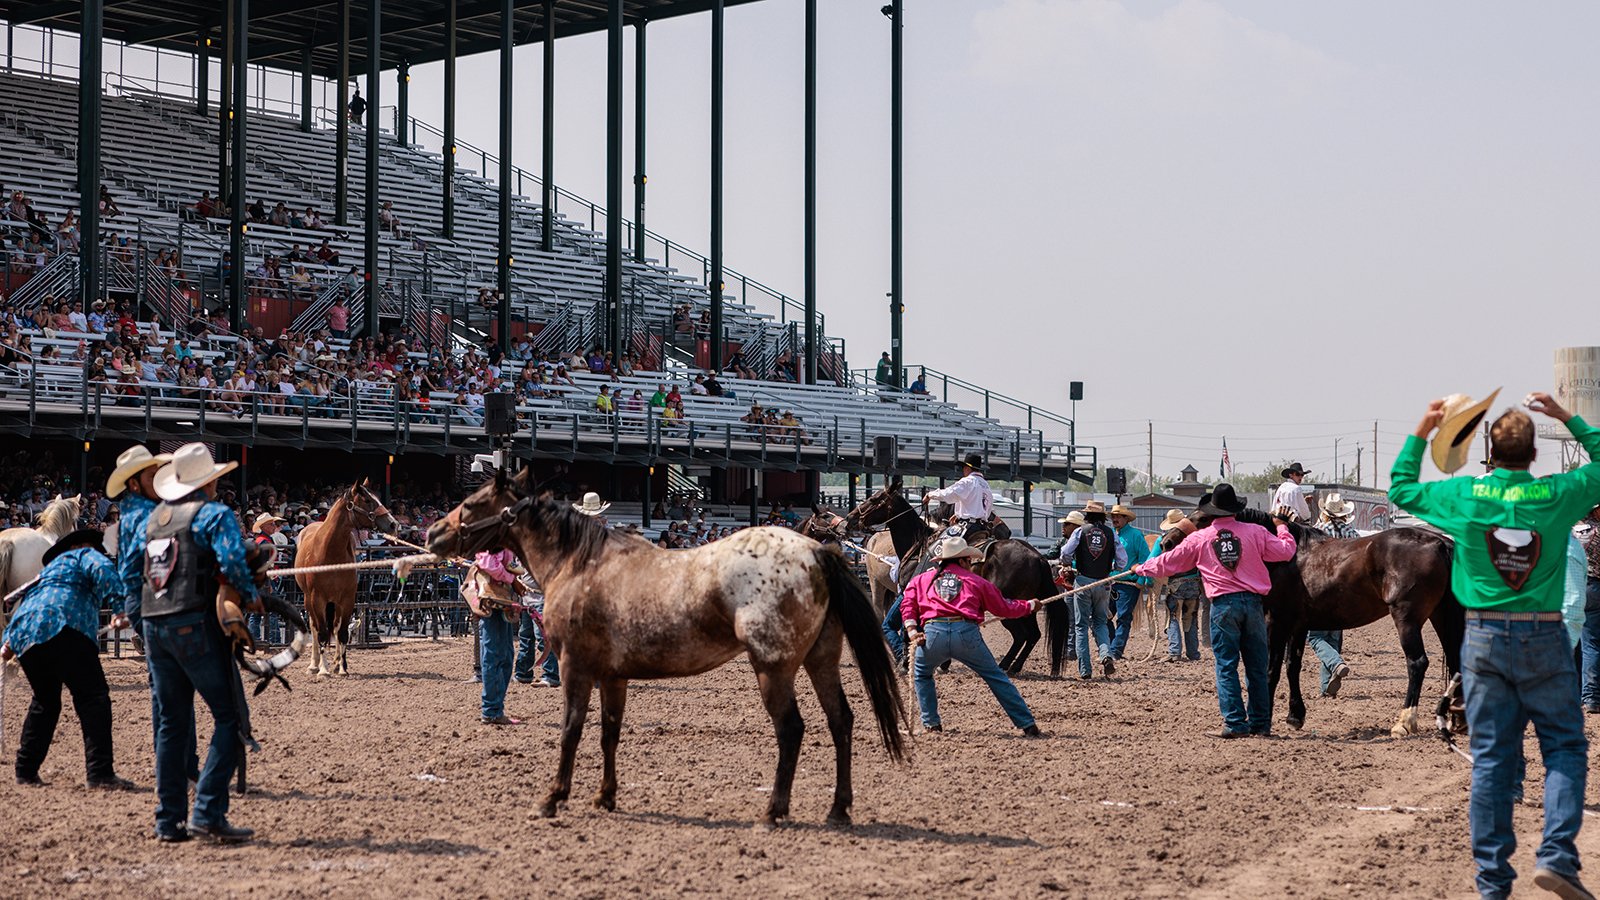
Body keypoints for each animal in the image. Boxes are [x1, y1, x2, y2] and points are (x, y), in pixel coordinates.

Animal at [294, 483, 396, 672]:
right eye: (367, 500)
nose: (394, 524)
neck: (330, 552)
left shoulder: (347, 599)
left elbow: (341, 632)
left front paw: (341, 667)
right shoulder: (317, 599)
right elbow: (322, 633)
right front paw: (323, 669)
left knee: (335, 626)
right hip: (308, 599)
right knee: (314, 628)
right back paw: (314, 664)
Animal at [425, 464, 908, 826]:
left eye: (472, 503)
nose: (432, 533)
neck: (581, 564)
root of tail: (815, 553)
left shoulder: (575, 668)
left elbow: (571, 731)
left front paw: (552, 798)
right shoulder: (612, 677)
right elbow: (609, 733)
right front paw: (605, 797)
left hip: (774, 669)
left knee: (791, 730)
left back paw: (773, 811)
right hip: (820, 661)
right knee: (841, 721)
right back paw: (838, 809)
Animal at [844, 480, 1056, 669]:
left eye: (874, 499)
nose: (849, 519)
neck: (918, 543)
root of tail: (1037, 557)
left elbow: (909, 629)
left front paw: (909, 663)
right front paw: (941, 662)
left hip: (1007, 606)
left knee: (1022, 634)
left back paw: (1006, 665)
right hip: (1029, 604)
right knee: (1033, 634)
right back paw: (1014, 665)